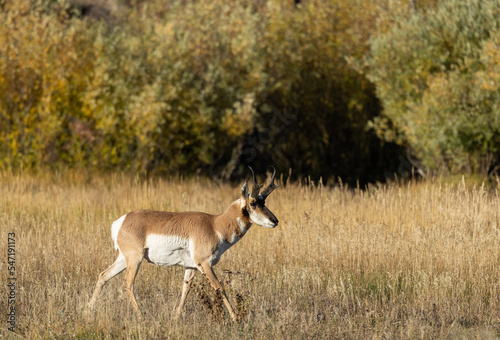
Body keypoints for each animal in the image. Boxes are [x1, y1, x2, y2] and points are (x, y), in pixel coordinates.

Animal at [88, 167, 280, 322]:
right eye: (253, 203)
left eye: (264, 202)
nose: (275, 221)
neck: (215, 224)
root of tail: (121, 220)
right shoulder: (205, 264)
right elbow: (220, 288)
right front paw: (236, 318)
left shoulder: (192, 267)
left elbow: (185, 290)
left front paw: (176, 317)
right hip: (135, 260)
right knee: (128, 283)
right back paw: (141, 316)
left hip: (123, 259)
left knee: (103, 276)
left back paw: (88, 310)